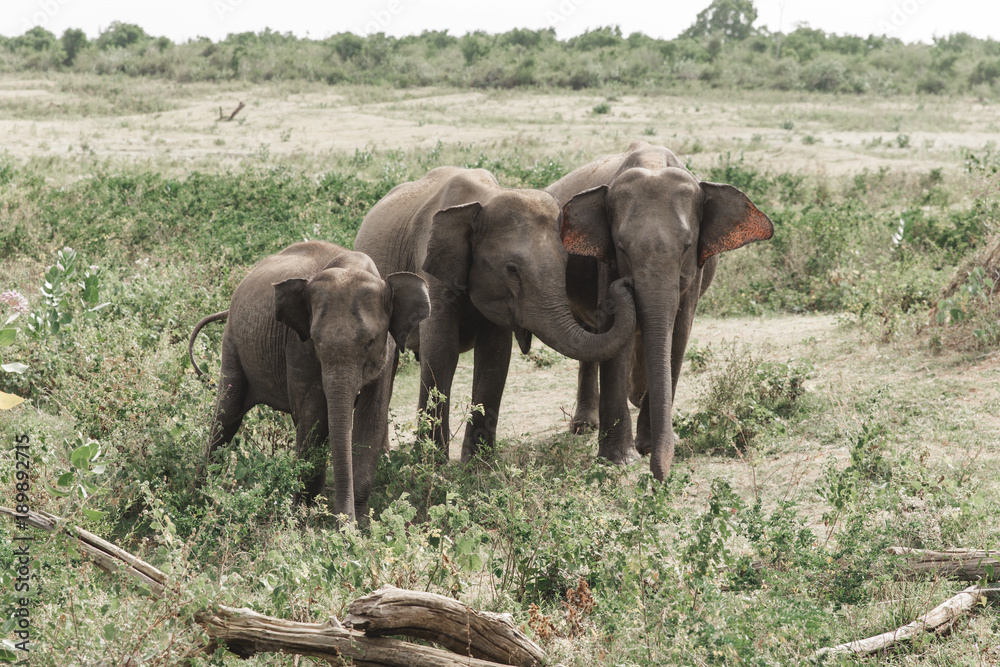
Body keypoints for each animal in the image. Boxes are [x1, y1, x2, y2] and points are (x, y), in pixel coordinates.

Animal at [188, 241, 431, 521]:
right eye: (315, 341)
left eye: (370, 342)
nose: (344, 524)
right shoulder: (298, 346)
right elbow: (312, 416)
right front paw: (301, 520)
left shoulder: (387, 354)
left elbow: (371, 420)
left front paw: (360, 527)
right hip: (233, 342)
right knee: (227, 416)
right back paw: (199, 500)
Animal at [353, 166, 636, 461]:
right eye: (512, 270)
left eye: (567, 262)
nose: (623, 282)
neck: (484, 198)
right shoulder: (430, 267)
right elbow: (442, 351)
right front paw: (432, 463)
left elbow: (495, 356)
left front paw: (477, 464)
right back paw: (385, 455)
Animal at [545, 141, 774, 480]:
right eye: (621, 247)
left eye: (687, 246)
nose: (659, 478)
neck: (653, 163)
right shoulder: (605, 262)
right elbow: (616, 337)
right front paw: (620, 460)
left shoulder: (694, 270)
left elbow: (679, 333)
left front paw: (651, 446)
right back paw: (585, 426)